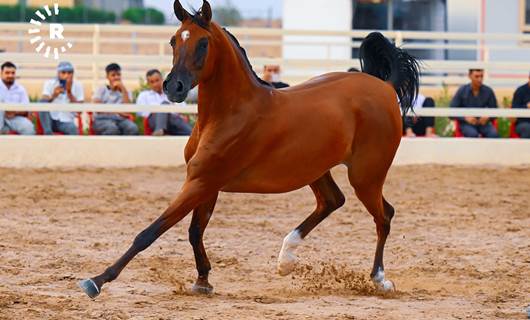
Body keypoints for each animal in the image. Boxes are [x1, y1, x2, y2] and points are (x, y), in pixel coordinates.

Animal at [78, 0, 418, 298]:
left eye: (203, 43)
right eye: (174, 40)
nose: (173, 87)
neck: (228, 113)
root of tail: (383, 87)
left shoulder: (201, 182)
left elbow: (150, 232)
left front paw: (96, 282)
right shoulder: (206, 185)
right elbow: (194, 231)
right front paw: (203, 282)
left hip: (366, 175)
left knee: (384, 215)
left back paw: (380, 280)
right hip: (315, 169)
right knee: (332, 201)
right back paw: (286, 261)